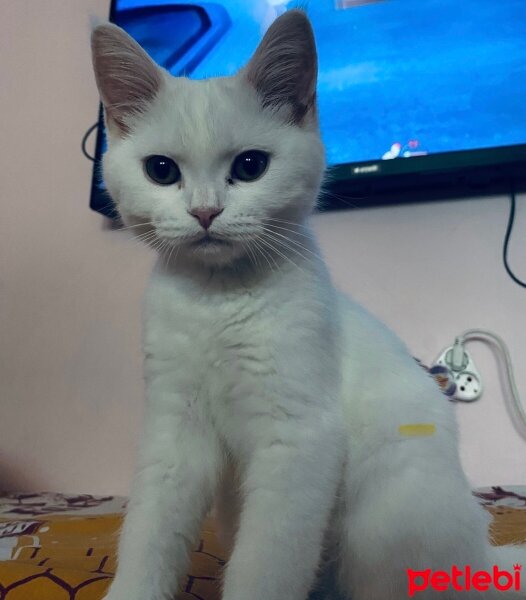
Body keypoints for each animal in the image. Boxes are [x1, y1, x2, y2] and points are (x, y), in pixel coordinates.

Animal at [92, 9, 526, 600]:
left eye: (251, 165)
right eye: (161, 170)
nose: (205, 211)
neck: (218, 301)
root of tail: (482, 557)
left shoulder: (298, 437)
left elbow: (266, 565)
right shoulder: (174, 430)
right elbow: (150, 533)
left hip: (385, 529)